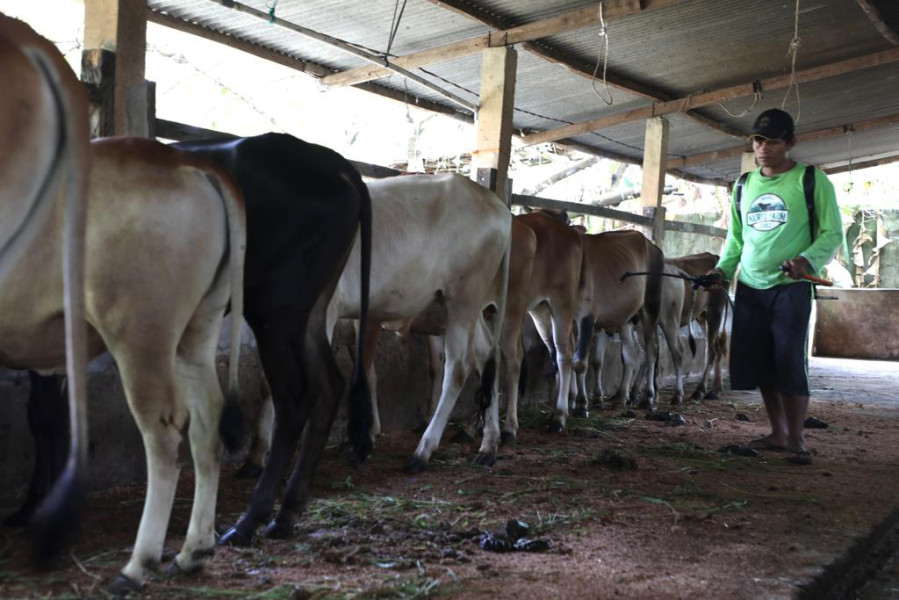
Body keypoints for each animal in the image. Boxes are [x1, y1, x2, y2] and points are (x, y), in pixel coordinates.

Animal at [0, 138, 246, 592]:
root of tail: (184, 158)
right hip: (197, 329)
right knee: (208, 423)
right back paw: (193, 551)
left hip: (138, 331)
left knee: (163, 434)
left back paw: (137, 565)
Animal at [170, 136, 376, 548]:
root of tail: (333, 161)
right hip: (308, 307)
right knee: (329, 384)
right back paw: (287, 512)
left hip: (273, 307)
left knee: (294, 399)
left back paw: (250, 519)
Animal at [568, 230, 668, 412]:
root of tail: (654, 247)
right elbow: (585, 360)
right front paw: (574, 399)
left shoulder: (588, 318)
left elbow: (581, 361)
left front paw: (582, 403)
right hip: (627, 321)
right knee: (633, 352)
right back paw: (626, 395)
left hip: (650, 307)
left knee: (651, 349)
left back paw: (648, 397)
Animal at [668, 252, 732, 398]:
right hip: (702, 316)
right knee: (715, 346)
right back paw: (716, 389)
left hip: (715, 311)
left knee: (711, 350)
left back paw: (700, 390)